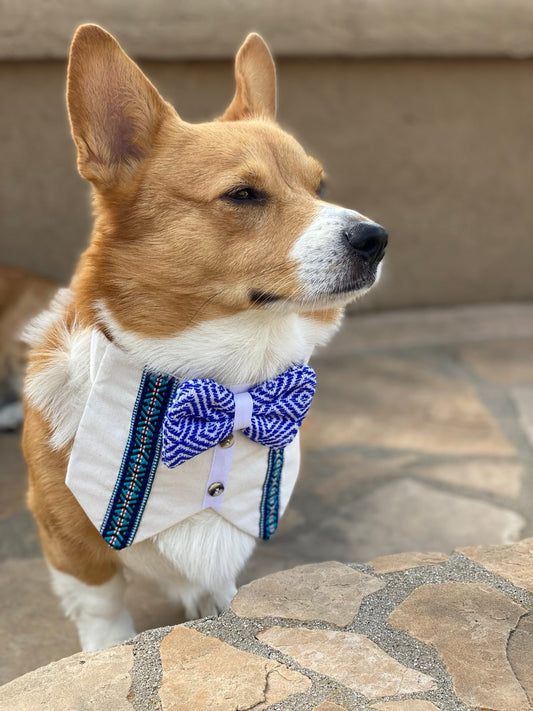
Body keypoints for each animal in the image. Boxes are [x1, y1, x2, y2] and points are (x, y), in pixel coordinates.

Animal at [21, 26, 386, 652]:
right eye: (243, 194)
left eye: (320, 185)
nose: (376, 238)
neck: (225, 385)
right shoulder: (64, 532)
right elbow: (101, 609)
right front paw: (106, 652)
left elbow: (219, 583)